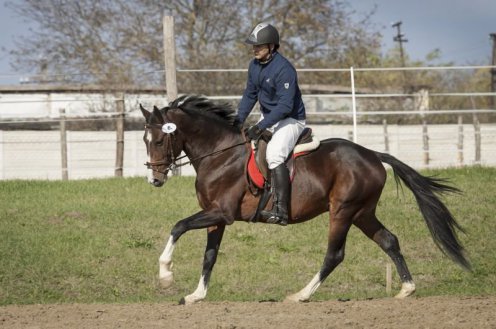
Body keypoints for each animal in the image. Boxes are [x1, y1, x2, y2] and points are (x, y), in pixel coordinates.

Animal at [139, 93, 468, 304]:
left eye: (160, 140)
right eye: (145, 140)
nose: (155, 180)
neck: (219, 153)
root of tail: (373, 155)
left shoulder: (222, 212)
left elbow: (178, 226)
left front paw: (165, 274)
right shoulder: (215, 216)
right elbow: (209, 256)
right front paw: (197, 295)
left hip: (342, 212)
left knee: (335, 254)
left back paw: (301, 295)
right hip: (362, 213)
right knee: (389, 240)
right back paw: (407, 289)